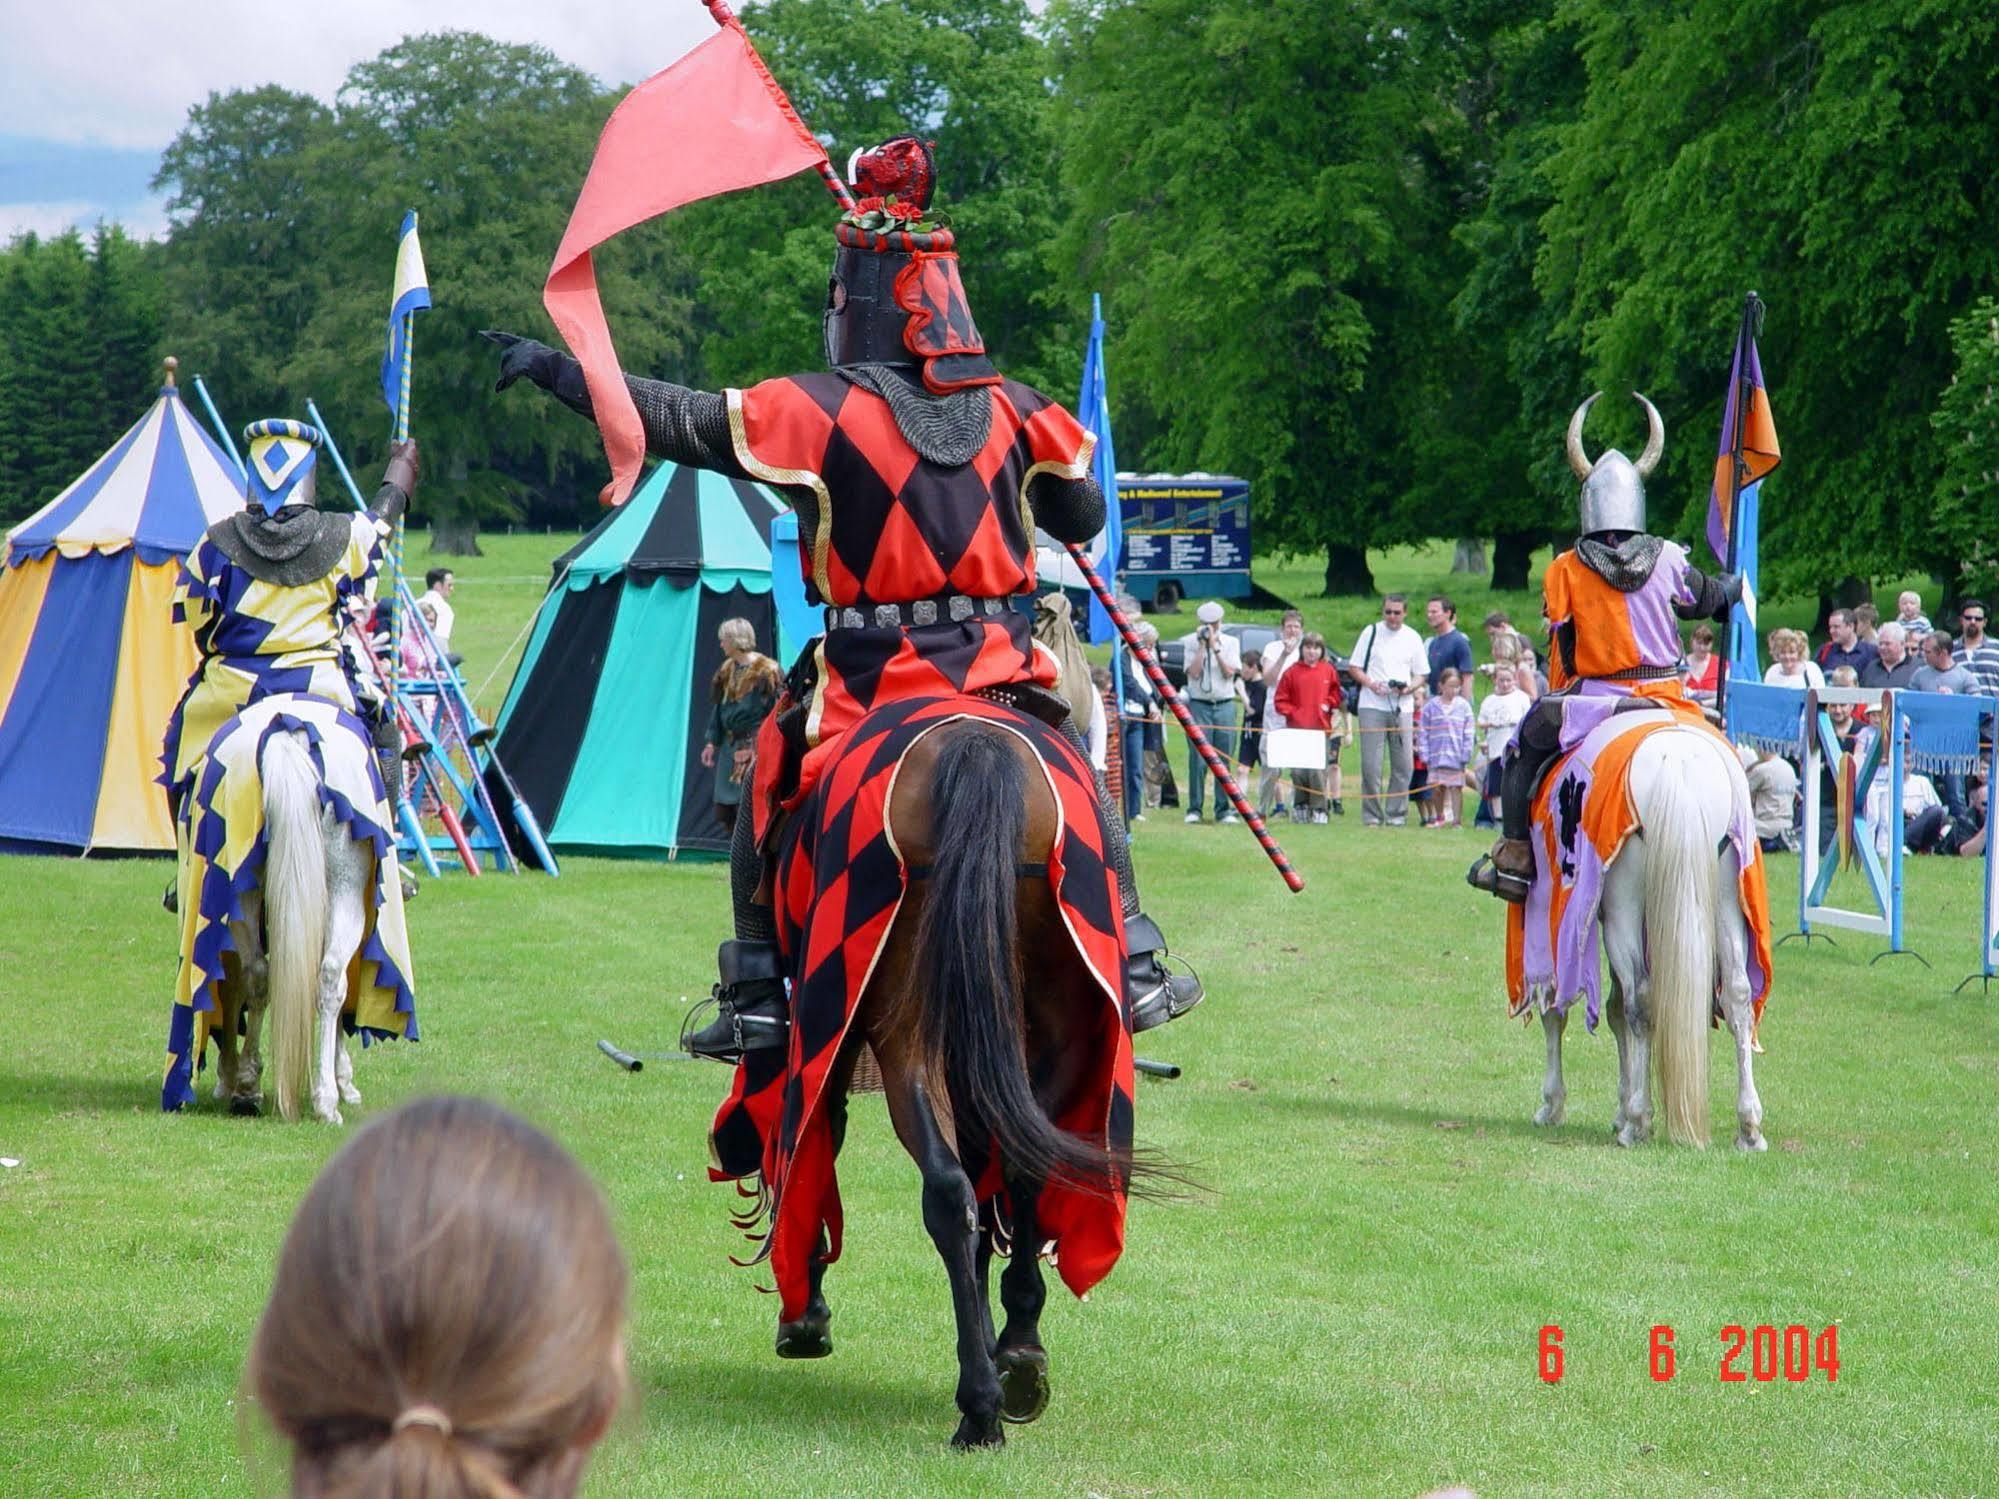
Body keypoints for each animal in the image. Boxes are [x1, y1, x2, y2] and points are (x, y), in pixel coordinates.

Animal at [209, 727, 377, 1127]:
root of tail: (289, 733)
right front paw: (344, 1079)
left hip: (246, 893)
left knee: (259, 975)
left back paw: (247, 1087)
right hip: (345, 892)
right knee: (330, 977)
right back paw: (325, 1098)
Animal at [779, 723, 1159, 1447]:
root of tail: (978, 747)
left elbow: (824, 1131)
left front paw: (806, 1312)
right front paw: (1004, 1345)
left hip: (904, 1023)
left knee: (951, 1186)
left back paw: (982, 1396)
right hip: (1044, 1026)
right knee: (999, 1176)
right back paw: (1007, 1367)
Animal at [1527, 723, 1767, 1159]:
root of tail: (1679, 762)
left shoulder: (1551, 916)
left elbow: (1559, 1007)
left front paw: (1554, 1105)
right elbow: (1614, 1010)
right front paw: (1622, 1109)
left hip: (1622, 905)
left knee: (1640, 998)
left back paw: (1636, 1123)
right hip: (1726, 902)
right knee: (1737, 999)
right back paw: (1749, 1127)